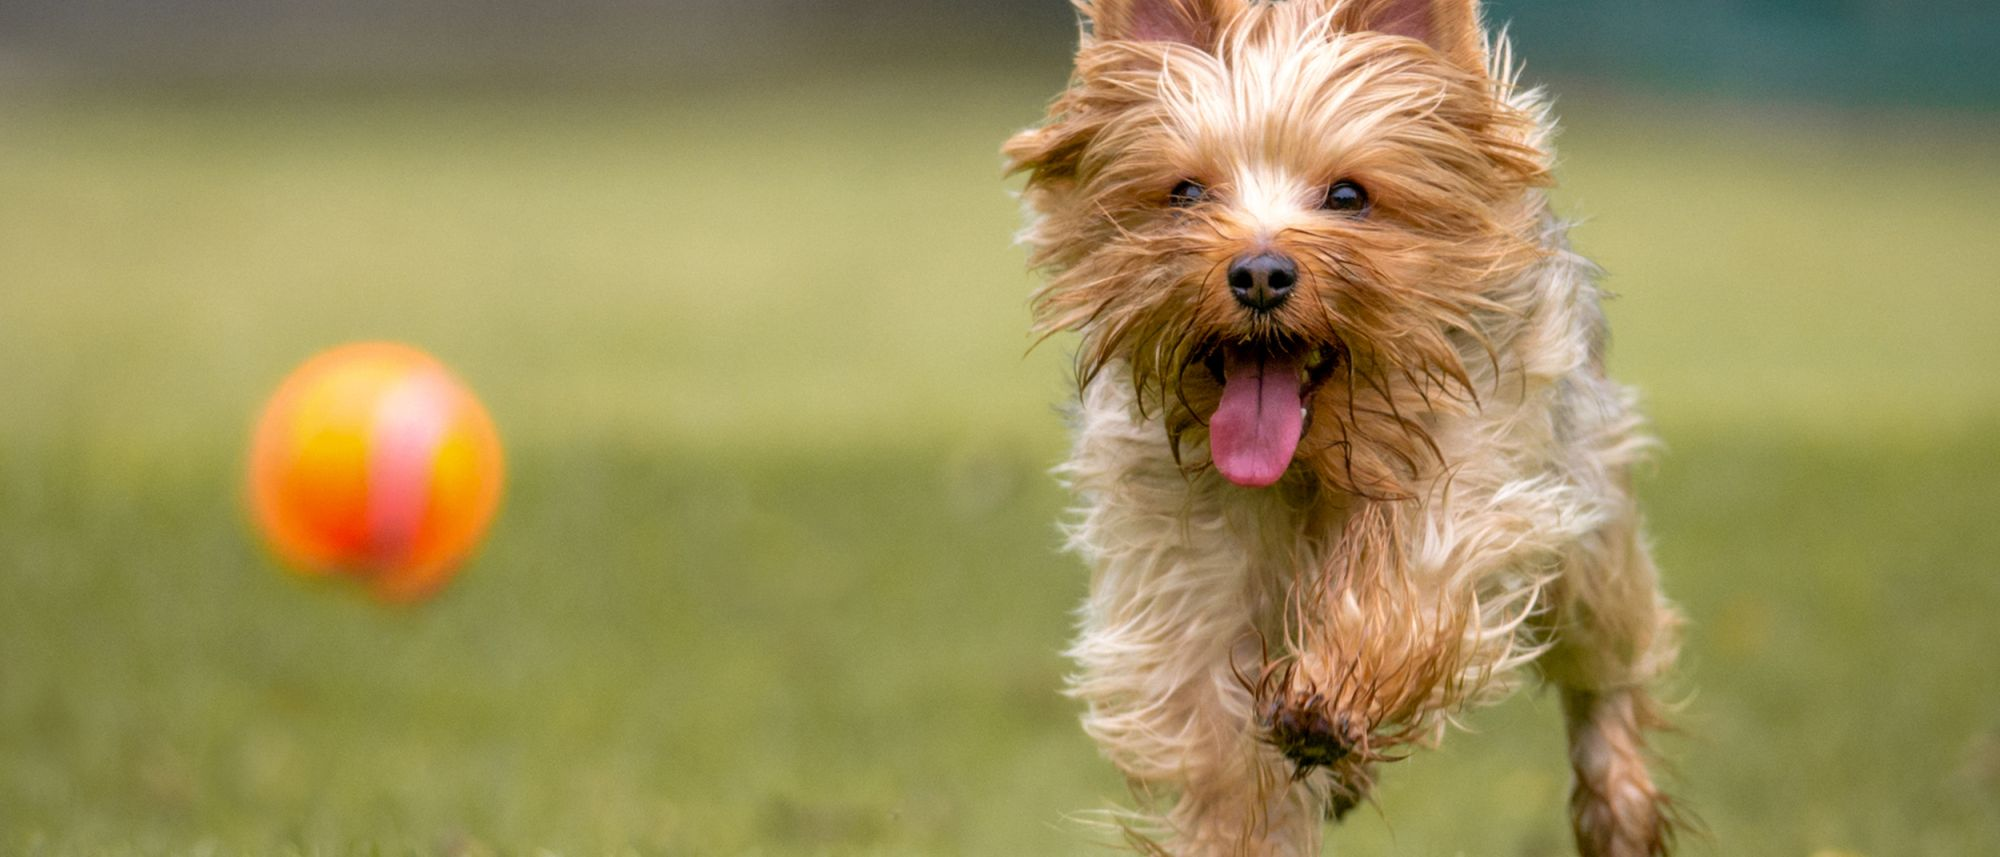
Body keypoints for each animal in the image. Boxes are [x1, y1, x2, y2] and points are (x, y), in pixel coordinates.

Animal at [1008, 3, 1680, 852]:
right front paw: (1246, 822)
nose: (1260, 272)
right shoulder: (1183, 570)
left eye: (1349, 195)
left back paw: (1616, 800)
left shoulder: (1476, 466)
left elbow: (1410, 579)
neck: (1310, 460)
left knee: (1609, 652)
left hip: (1587, 513)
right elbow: (1217, 740)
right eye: (1186, 191)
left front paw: (1328, 698)